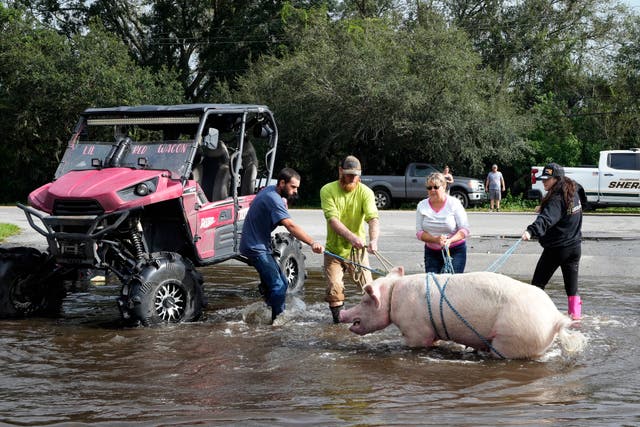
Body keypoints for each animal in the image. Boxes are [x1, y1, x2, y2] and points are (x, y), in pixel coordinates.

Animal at [340, 270, 584, 360]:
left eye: (364, 300)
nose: (342, 313)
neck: (393, 296)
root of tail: (554, 319)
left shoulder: (416, 331)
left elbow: (416, 344)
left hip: (512, 338)